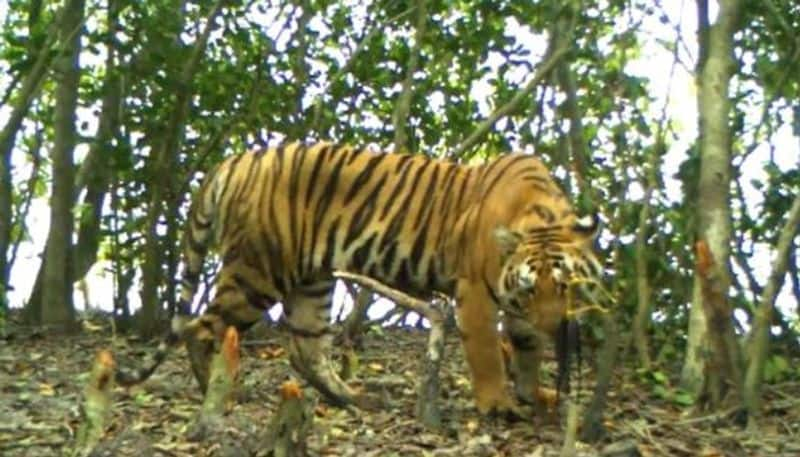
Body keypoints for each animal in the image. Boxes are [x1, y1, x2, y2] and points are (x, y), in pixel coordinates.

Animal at [117, 141, 600, 416]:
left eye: (562, 287)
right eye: (531, 289)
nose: (556, 327)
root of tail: (236, 159)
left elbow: (525, 346)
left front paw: (533, 395)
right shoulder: (476, 292)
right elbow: (485, 352)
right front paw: (498, 407)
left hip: (311, 280)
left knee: (305, 348)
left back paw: (352, 399)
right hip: (257, 272)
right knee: (201, 327)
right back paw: (219, 395)